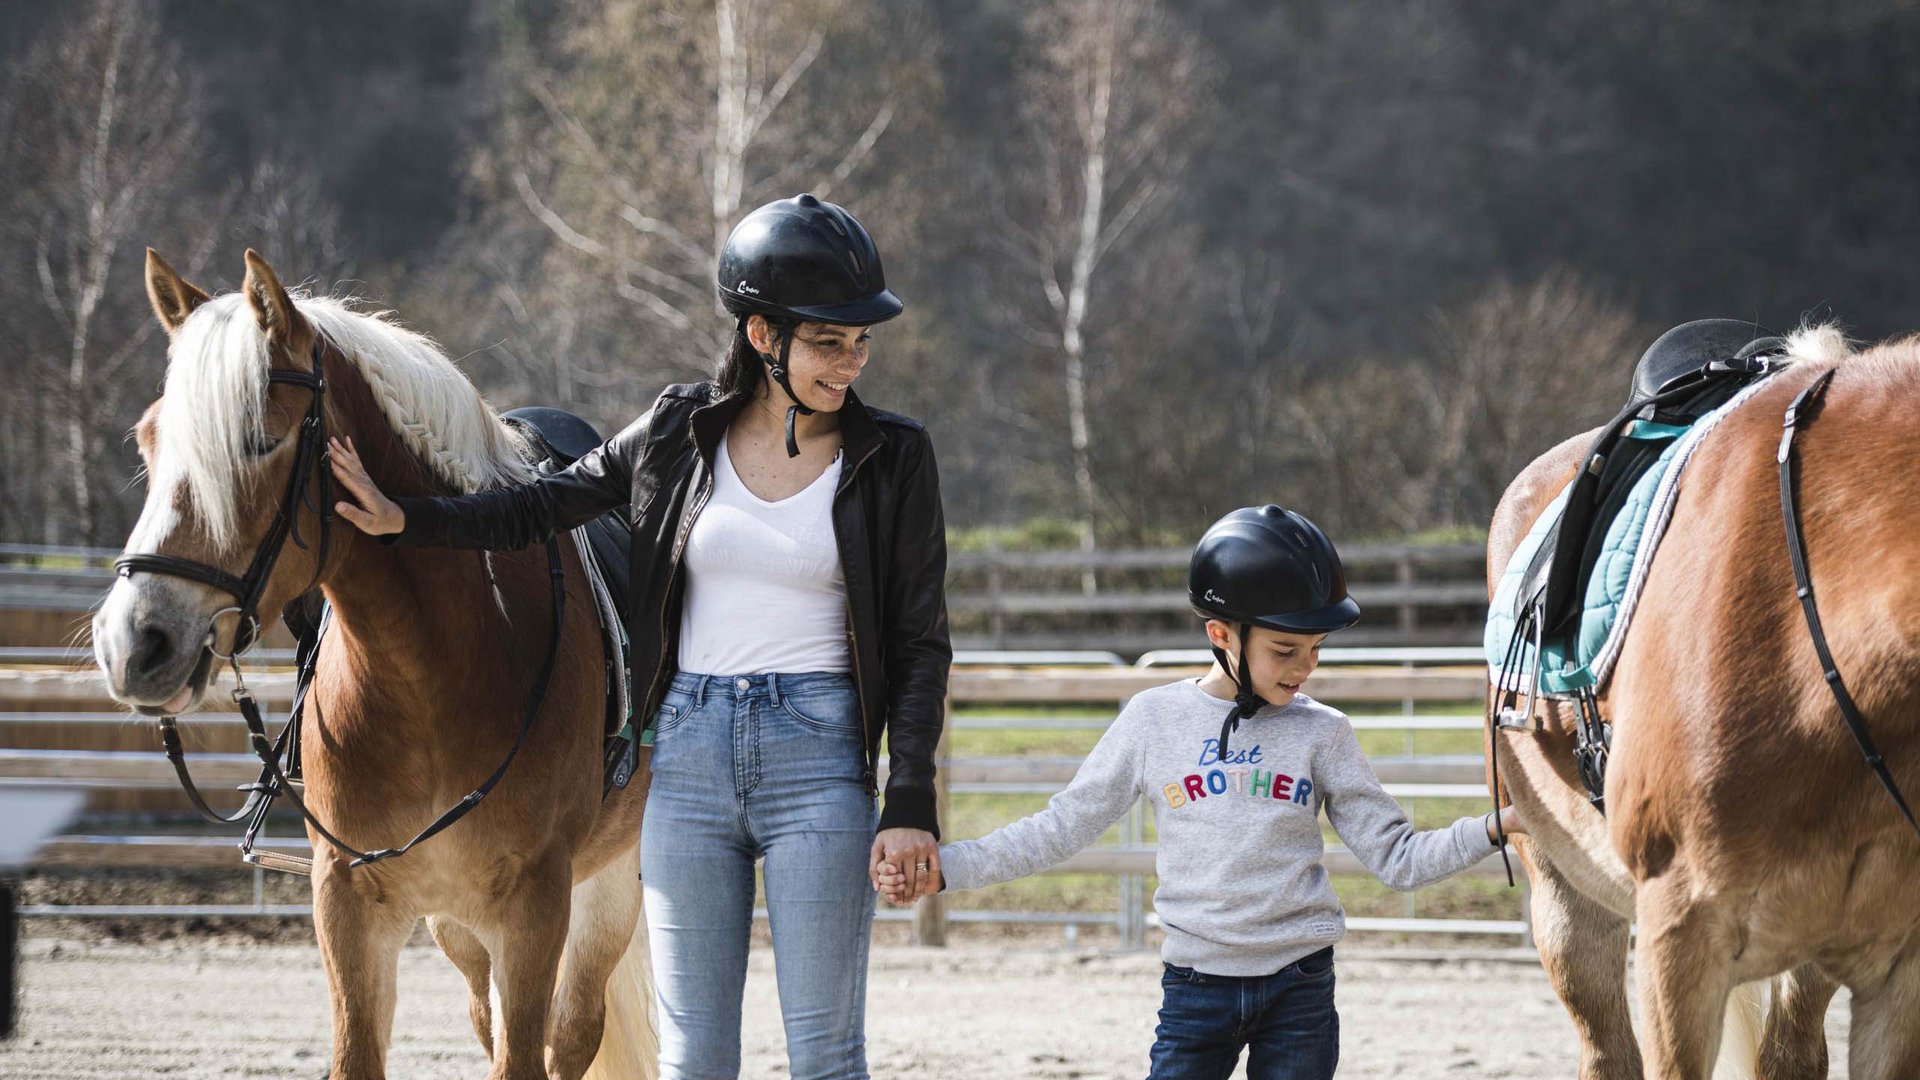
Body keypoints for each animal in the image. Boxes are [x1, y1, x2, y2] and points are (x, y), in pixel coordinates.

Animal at [91, 247, 660, 1068]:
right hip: (458, 924)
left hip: (606, 885)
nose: (135, 641)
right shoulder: (351, 905)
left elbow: (529, 1051)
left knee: (573, 1031)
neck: (433, 673)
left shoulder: (536, 909)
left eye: (260, 438)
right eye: (148, 439)